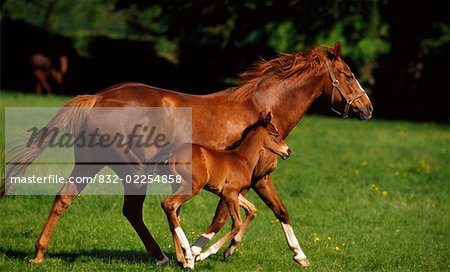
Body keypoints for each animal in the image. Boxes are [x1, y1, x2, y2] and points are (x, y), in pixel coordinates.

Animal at [162, 111, 292, 268]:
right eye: (275, 135)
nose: (288, 151)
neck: (243, 159)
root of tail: (173, 155)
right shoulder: (229, 193)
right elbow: (237, 223)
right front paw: (202, 255)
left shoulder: (232, 194)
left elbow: (252, 209)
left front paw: (229, 248)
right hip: (193, 187)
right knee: (169, 204)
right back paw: (188, 253)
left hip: (179, 186)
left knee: (173, 214)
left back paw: (183, 260)